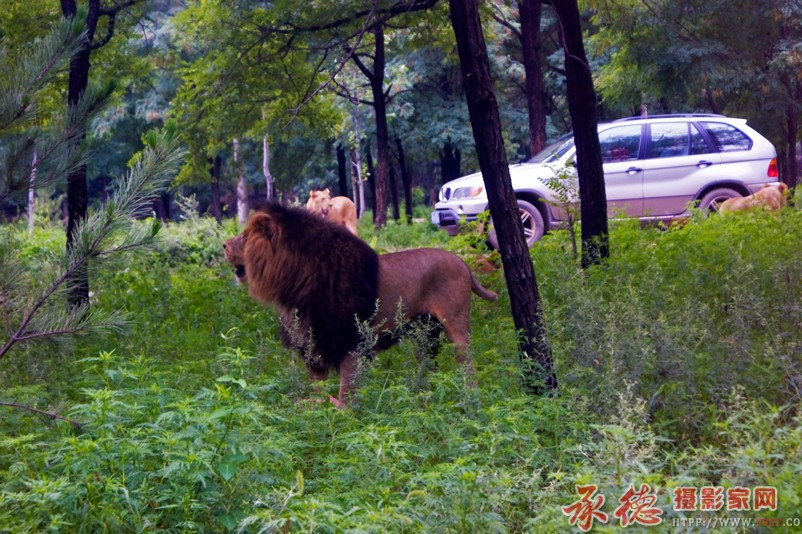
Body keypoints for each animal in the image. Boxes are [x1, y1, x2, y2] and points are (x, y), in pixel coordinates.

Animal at [223, 204, 494, 406]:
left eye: (245, 236)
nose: (223, 245)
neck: (295, 286)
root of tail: (461, 261)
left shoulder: (351, 342)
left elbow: (347, 392)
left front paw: (345, 417)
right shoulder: (314, 348)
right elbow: (317, 391)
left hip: (456, 326)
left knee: (467, 365)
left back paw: (469, 398)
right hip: (424, 334)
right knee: (429, 366)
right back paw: (425, 394)